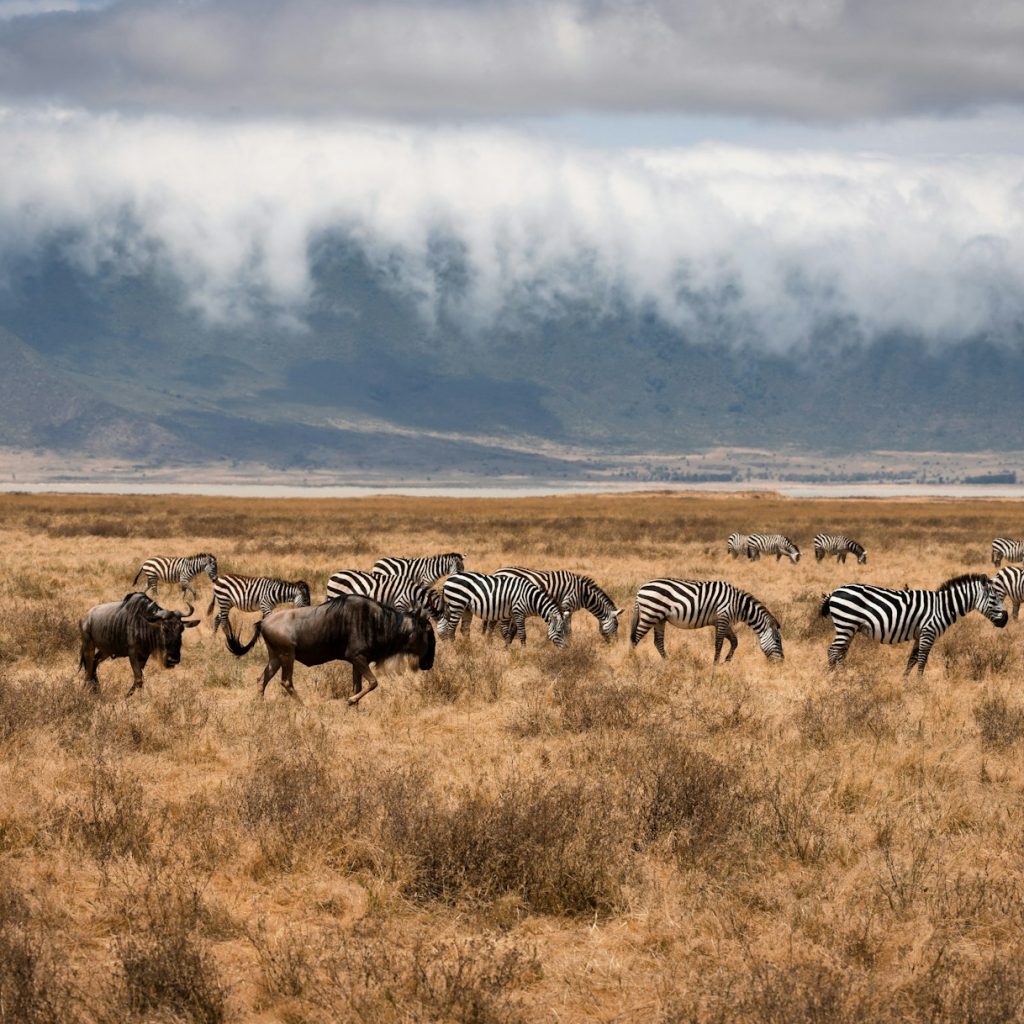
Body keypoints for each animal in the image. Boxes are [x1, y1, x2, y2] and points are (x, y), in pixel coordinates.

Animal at [438, 572, 567, 648]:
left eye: (566, 632)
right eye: (559, 632)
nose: (566, 649)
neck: (530, 598)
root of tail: (448, 579)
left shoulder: (512, 614)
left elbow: (509, 632)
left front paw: (507, 648)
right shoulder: (518, 612)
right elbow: (522, 633)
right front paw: (523, 650)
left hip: (466, 609)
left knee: (463, 629)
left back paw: (468, 647)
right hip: (457, 604)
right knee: (451, 628)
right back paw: (453, 648)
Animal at [494, 568, 623, 639]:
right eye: (617, 625)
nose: (615, 644)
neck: (582, 593)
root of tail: (497, 571)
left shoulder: (565, 609)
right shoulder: (567, 605)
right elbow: (568, 628)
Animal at [630, 579, 783, 663]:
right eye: (777, 641)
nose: (781, 662)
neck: (738, 605)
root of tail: (641, 588)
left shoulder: (721, 621)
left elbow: (734, 641)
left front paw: (727, 661)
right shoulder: (723, 616)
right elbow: (719, 643)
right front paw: (715, 664)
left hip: (660, 619)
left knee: (658, 642)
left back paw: (668, 662)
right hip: (650, 614)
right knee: (635, 638)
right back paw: (633, 661)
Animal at [820, 572, 1008, 676]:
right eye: (994, 598)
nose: (1006, 619)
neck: (943, 607)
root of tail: (834, 592)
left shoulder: (920, 634)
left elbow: (912, 659)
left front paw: (905, 684)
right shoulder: (929, 632)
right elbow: (922, 660)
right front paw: (920, 684)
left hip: (850, 628)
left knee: (841, 653)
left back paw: (844, 677)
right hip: (846, 624)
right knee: (833, 651)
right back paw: (833, 679)